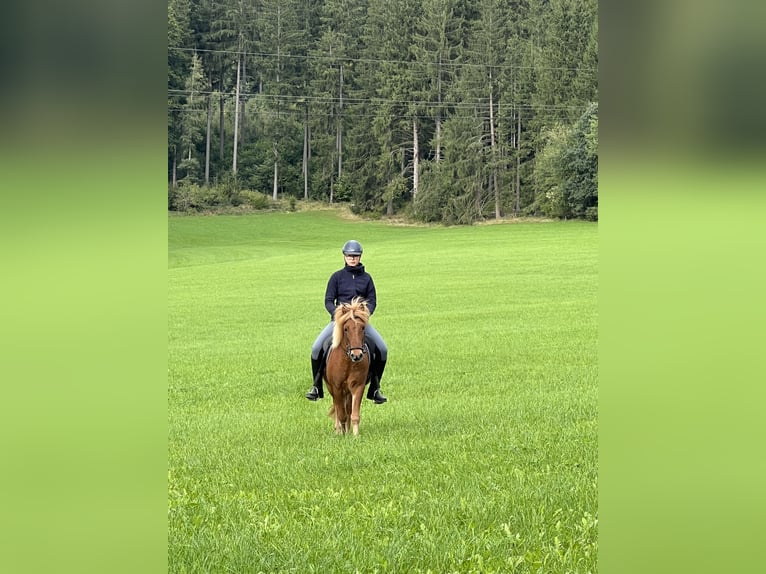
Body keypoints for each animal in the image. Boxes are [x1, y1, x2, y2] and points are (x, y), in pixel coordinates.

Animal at [324, 296, 372, 436]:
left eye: (362, 328)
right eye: (346, 329)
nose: (357, 355)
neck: (348, 362)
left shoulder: (358, 386)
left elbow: (354, 414)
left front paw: (355, 436)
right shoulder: (337, 387)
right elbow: (341, 414)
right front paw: (342, 435)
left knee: (348, 409)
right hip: (331, 388)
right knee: (337, 407)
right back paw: (338, 430)